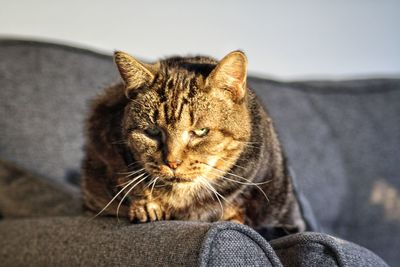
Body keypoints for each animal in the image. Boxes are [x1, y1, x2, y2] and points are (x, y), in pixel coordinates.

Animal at [82, 50, 306, 234]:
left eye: (200, 131)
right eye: (152, 131)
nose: (172, 163)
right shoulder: (103, 140)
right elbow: (126, 178)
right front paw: (146, 205)